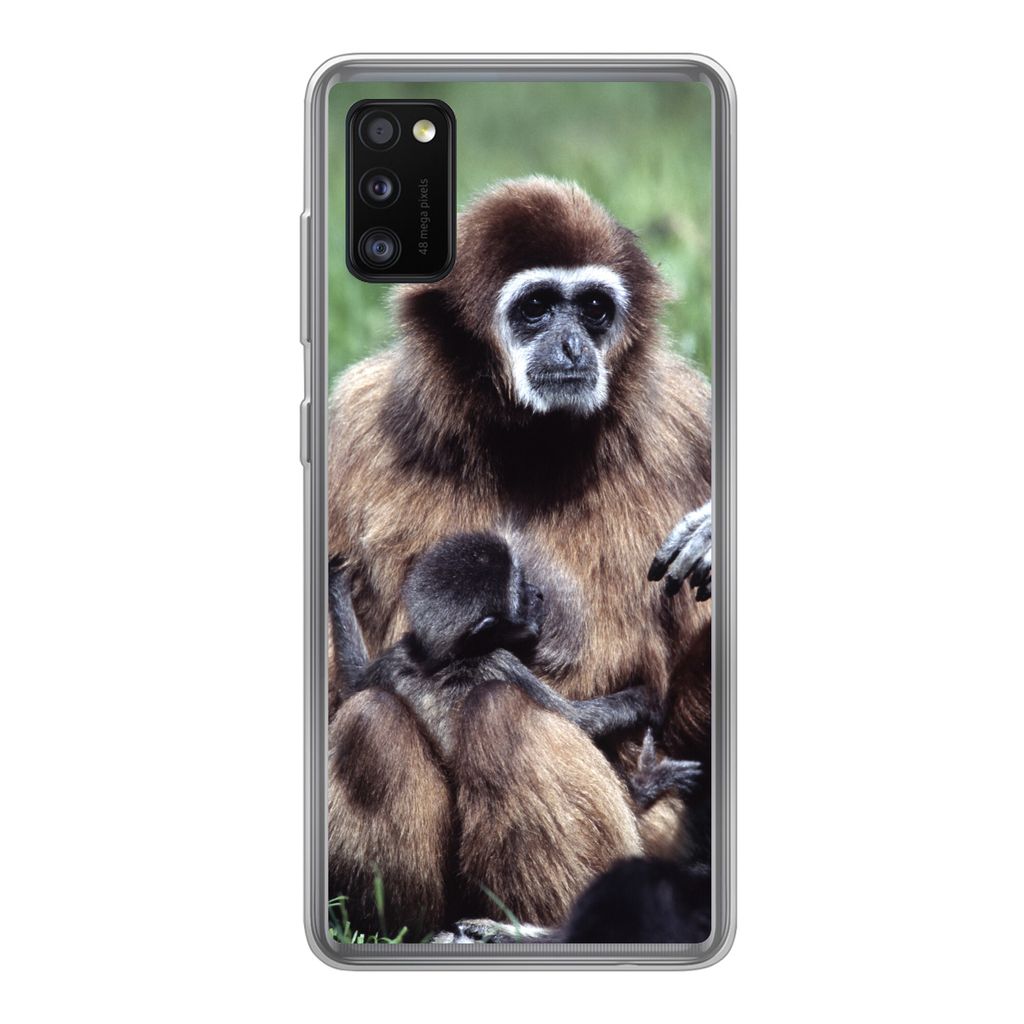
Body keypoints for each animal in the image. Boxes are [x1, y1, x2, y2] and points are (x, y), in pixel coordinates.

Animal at [328, 176, 713, 932]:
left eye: (593, 308)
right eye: (535, 308)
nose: (570, 344)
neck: (525, 448)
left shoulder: (693, 427)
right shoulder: (350, 429)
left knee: (501, 712)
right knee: (370, 720)